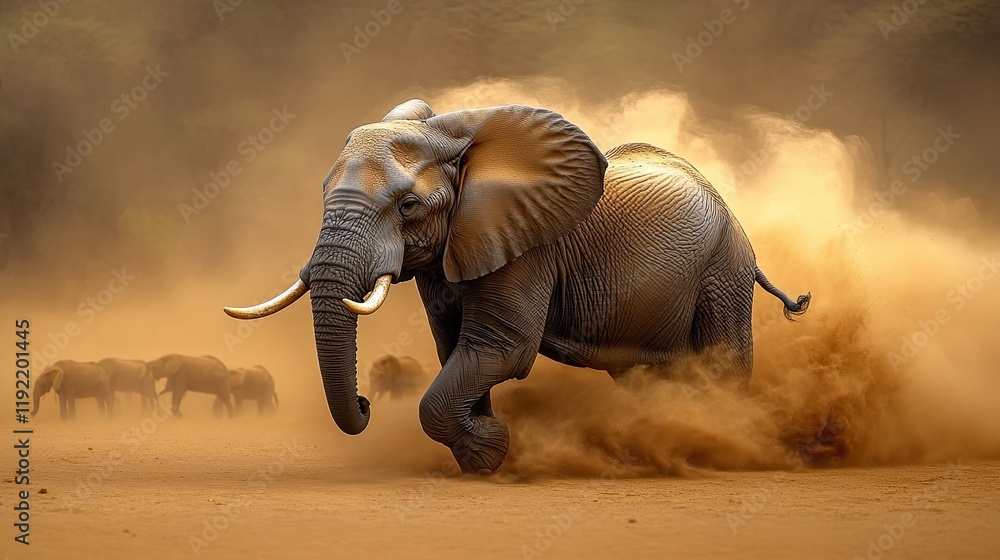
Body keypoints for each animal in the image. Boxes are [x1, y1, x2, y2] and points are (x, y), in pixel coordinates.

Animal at [223, 99, 810, 473]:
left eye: (408, 206)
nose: (367, 404)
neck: (453, 135)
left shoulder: (526, 247)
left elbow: (500, 348)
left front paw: (491, 451)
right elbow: (455, 348)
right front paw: (482, 450)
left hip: (723, 270)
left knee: (721, 363)